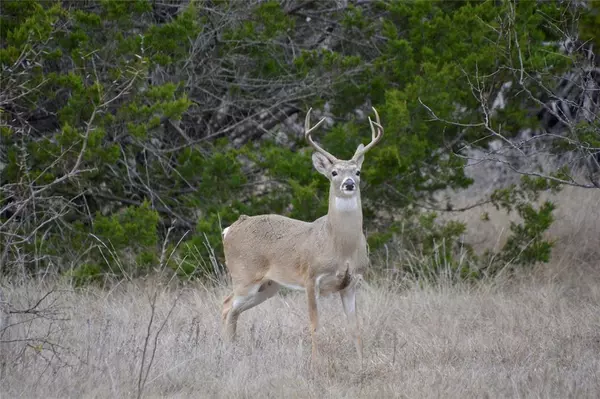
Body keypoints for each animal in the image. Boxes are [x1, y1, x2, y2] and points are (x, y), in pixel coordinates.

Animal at [221, 106, 384, 362]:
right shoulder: (311, 278)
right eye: (334, 172)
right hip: (244, 275)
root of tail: (229, 229)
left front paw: (361, 362)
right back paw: (225, 349)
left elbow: (355, 327)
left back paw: (230, 348)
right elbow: (314, 324)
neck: (340, 247)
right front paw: (316, 363)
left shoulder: (352, 282)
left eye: (358, 171)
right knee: (226, 305)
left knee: (233, 310)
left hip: (267, 286)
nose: (349, 183)